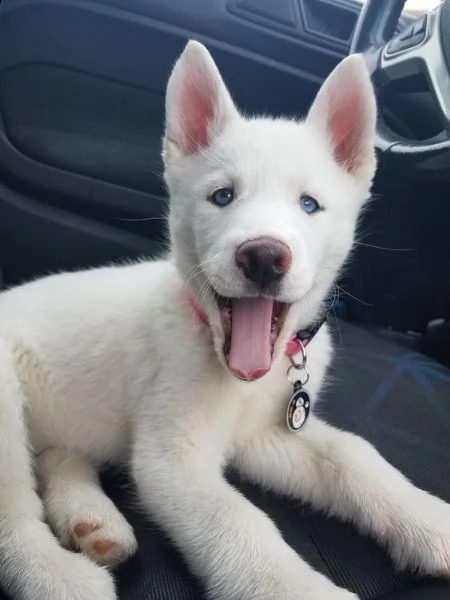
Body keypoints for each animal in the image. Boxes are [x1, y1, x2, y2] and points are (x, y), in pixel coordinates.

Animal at [0, 42, 450, 600]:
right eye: (222, 196)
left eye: (309, 204)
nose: (264, 257)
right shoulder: (171, 457)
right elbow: (238, 522)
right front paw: (299, 588)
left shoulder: (264, 435)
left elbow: (353, 454)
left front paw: (428, 521)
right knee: (12, 507)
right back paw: (57, 575)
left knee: (58, 457)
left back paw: (92, 522)